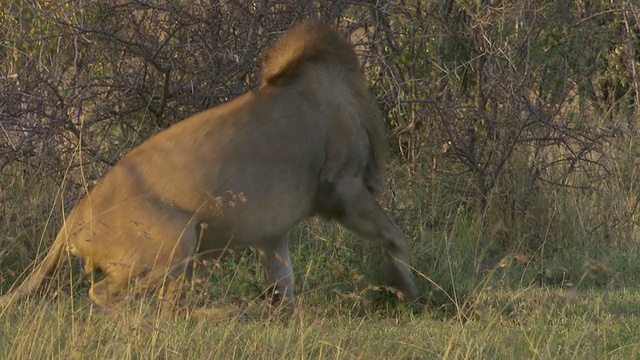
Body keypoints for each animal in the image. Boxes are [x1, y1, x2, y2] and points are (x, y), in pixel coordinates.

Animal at [0, 21, 420, 310]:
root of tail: (71, 220)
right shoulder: (342, 186)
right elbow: (396, 235)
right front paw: (409, 289)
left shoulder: (273, 232)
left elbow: (284, 281)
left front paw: (287, 318)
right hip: (178, 236)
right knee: (111, 295)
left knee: (161, 303)